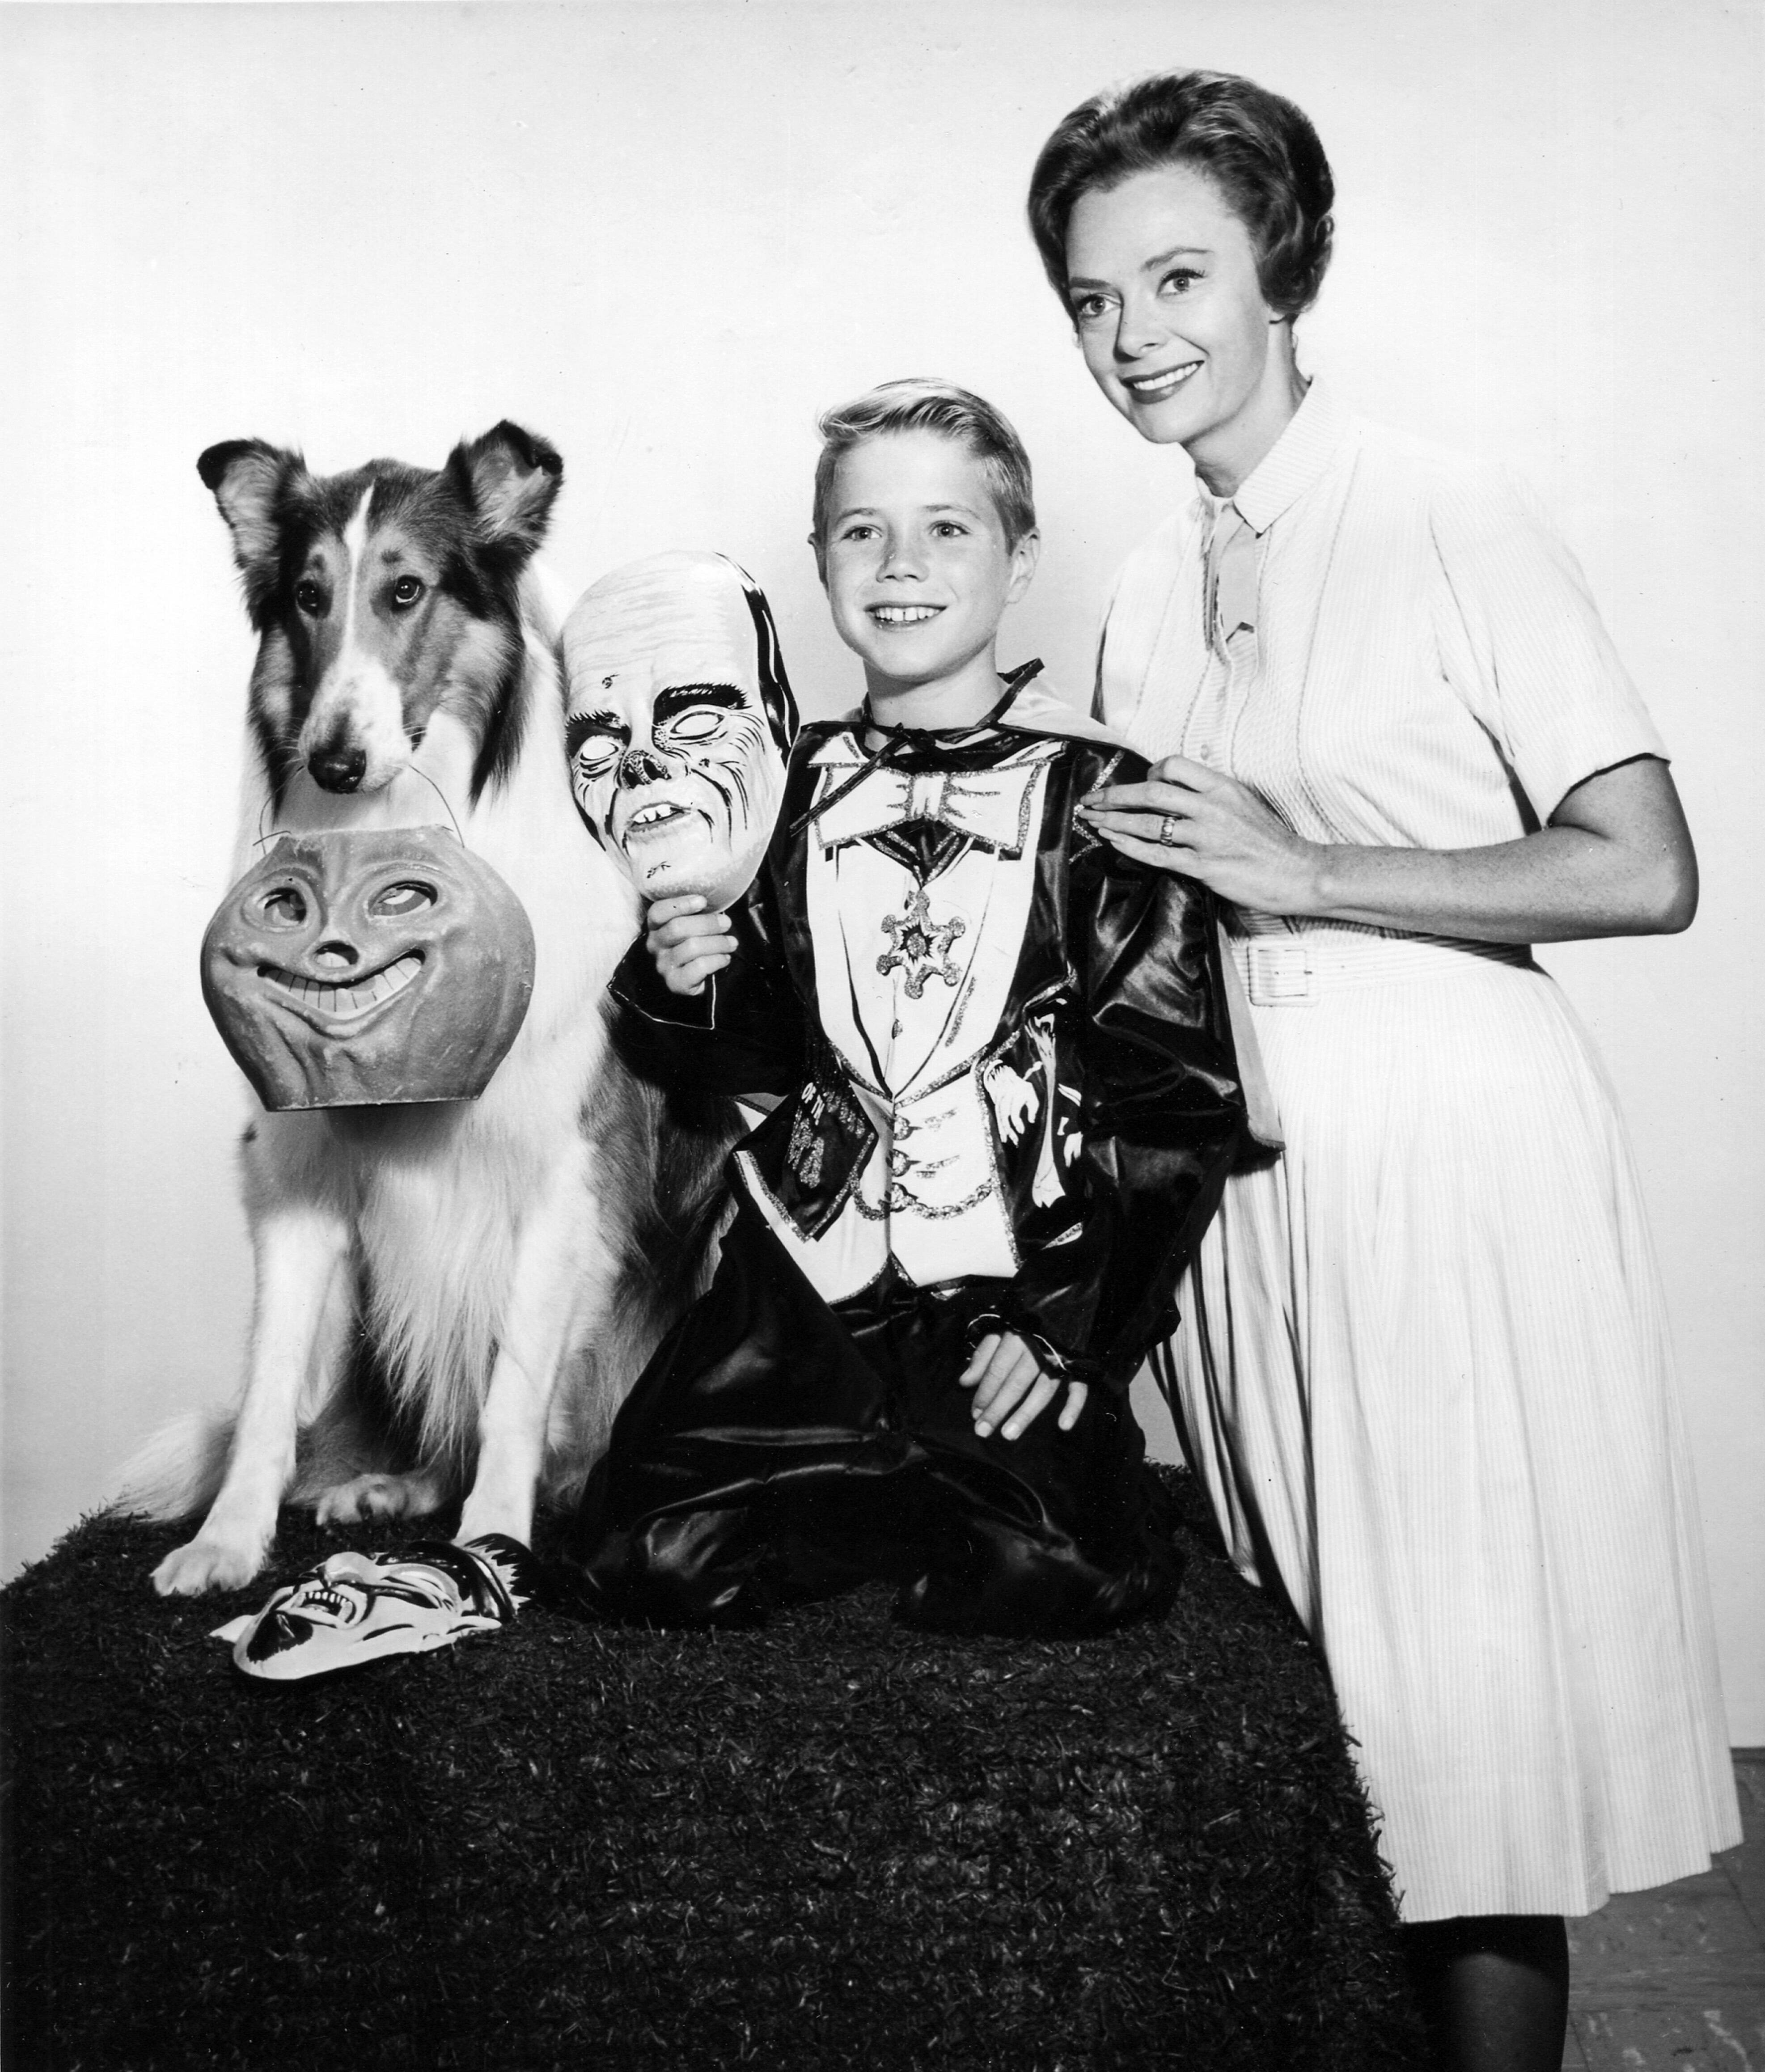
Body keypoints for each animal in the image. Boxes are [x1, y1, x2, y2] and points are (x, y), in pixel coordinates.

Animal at [129, 422, 732, 1594]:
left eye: (406, 590)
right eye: (309, 595)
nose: (334, 759)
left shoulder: (569, 1175)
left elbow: (515, 1388)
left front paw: (494, 1540)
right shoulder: (294, 1168)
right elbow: (268, 1384)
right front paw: (226, 1540)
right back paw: (392, 1484)